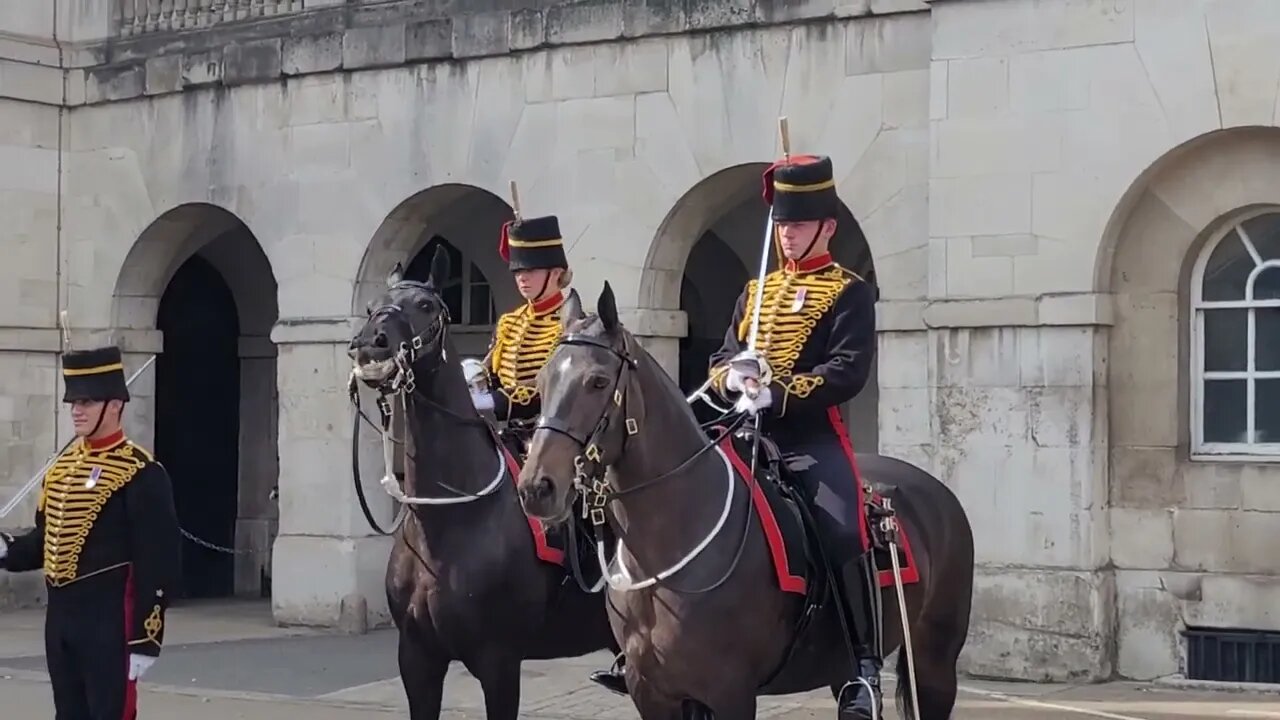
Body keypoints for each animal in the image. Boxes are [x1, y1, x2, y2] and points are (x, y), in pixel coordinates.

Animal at [345, 245, 614, 717]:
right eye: (373, 305)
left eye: (425, 305)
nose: (369, 347)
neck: (451, 518)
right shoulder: (417, 658)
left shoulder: (499, 661)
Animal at [514, 284, 972, 717]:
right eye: (541, 381)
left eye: (598, 381)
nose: (537, 487)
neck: (668, 555)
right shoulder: (654, 694)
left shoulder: (730, 693)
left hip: (933, 663)